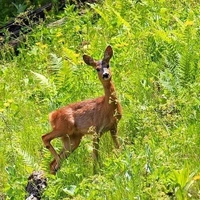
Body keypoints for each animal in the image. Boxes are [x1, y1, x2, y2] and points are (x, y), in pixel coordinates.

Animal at [42, 45, 122, 173]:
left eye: (108, 64)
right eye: (97, 69)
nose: (105, 75)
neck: (108, 107)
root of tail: (52, 115)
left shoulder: (113, 126)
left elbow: (117, 146)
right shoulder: (96, 130)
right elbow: (95, 155)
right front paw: (96, 172)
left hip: (73, 139)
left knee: (52, 163)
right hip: (64, 127)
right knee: (45, 138)